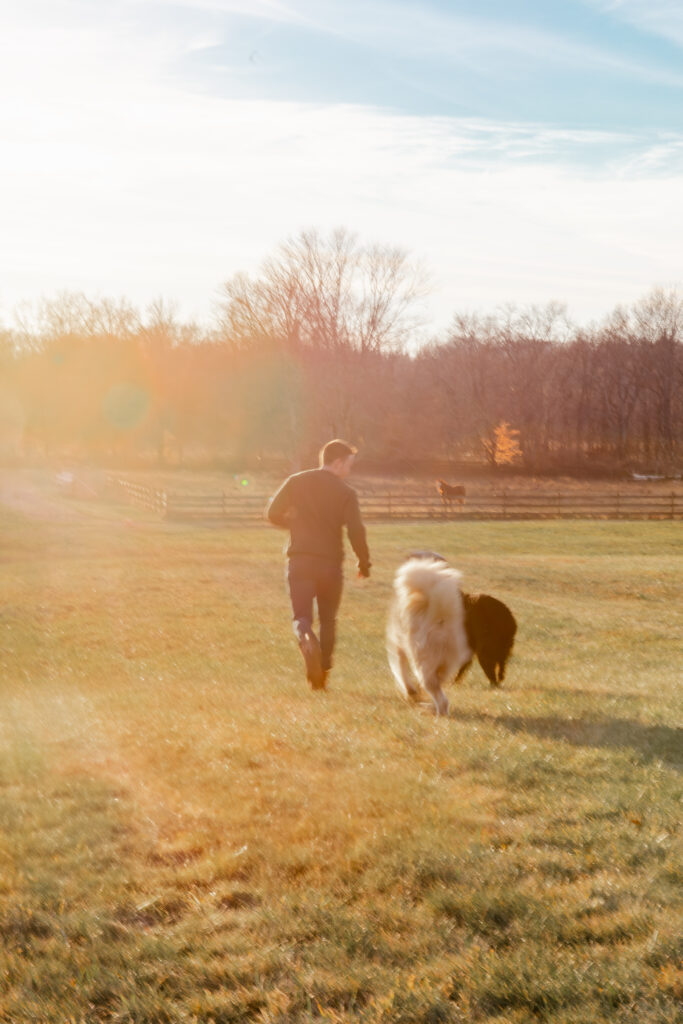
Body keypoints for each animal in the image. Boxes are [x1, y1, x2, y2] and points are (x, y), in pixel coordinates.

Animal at [387, 557, 516, 716]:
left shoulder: (399, 645)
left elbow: (400, 669)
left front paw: (411, 692)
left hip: (431, 662)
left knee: (441, 696)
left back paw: (436, 711)